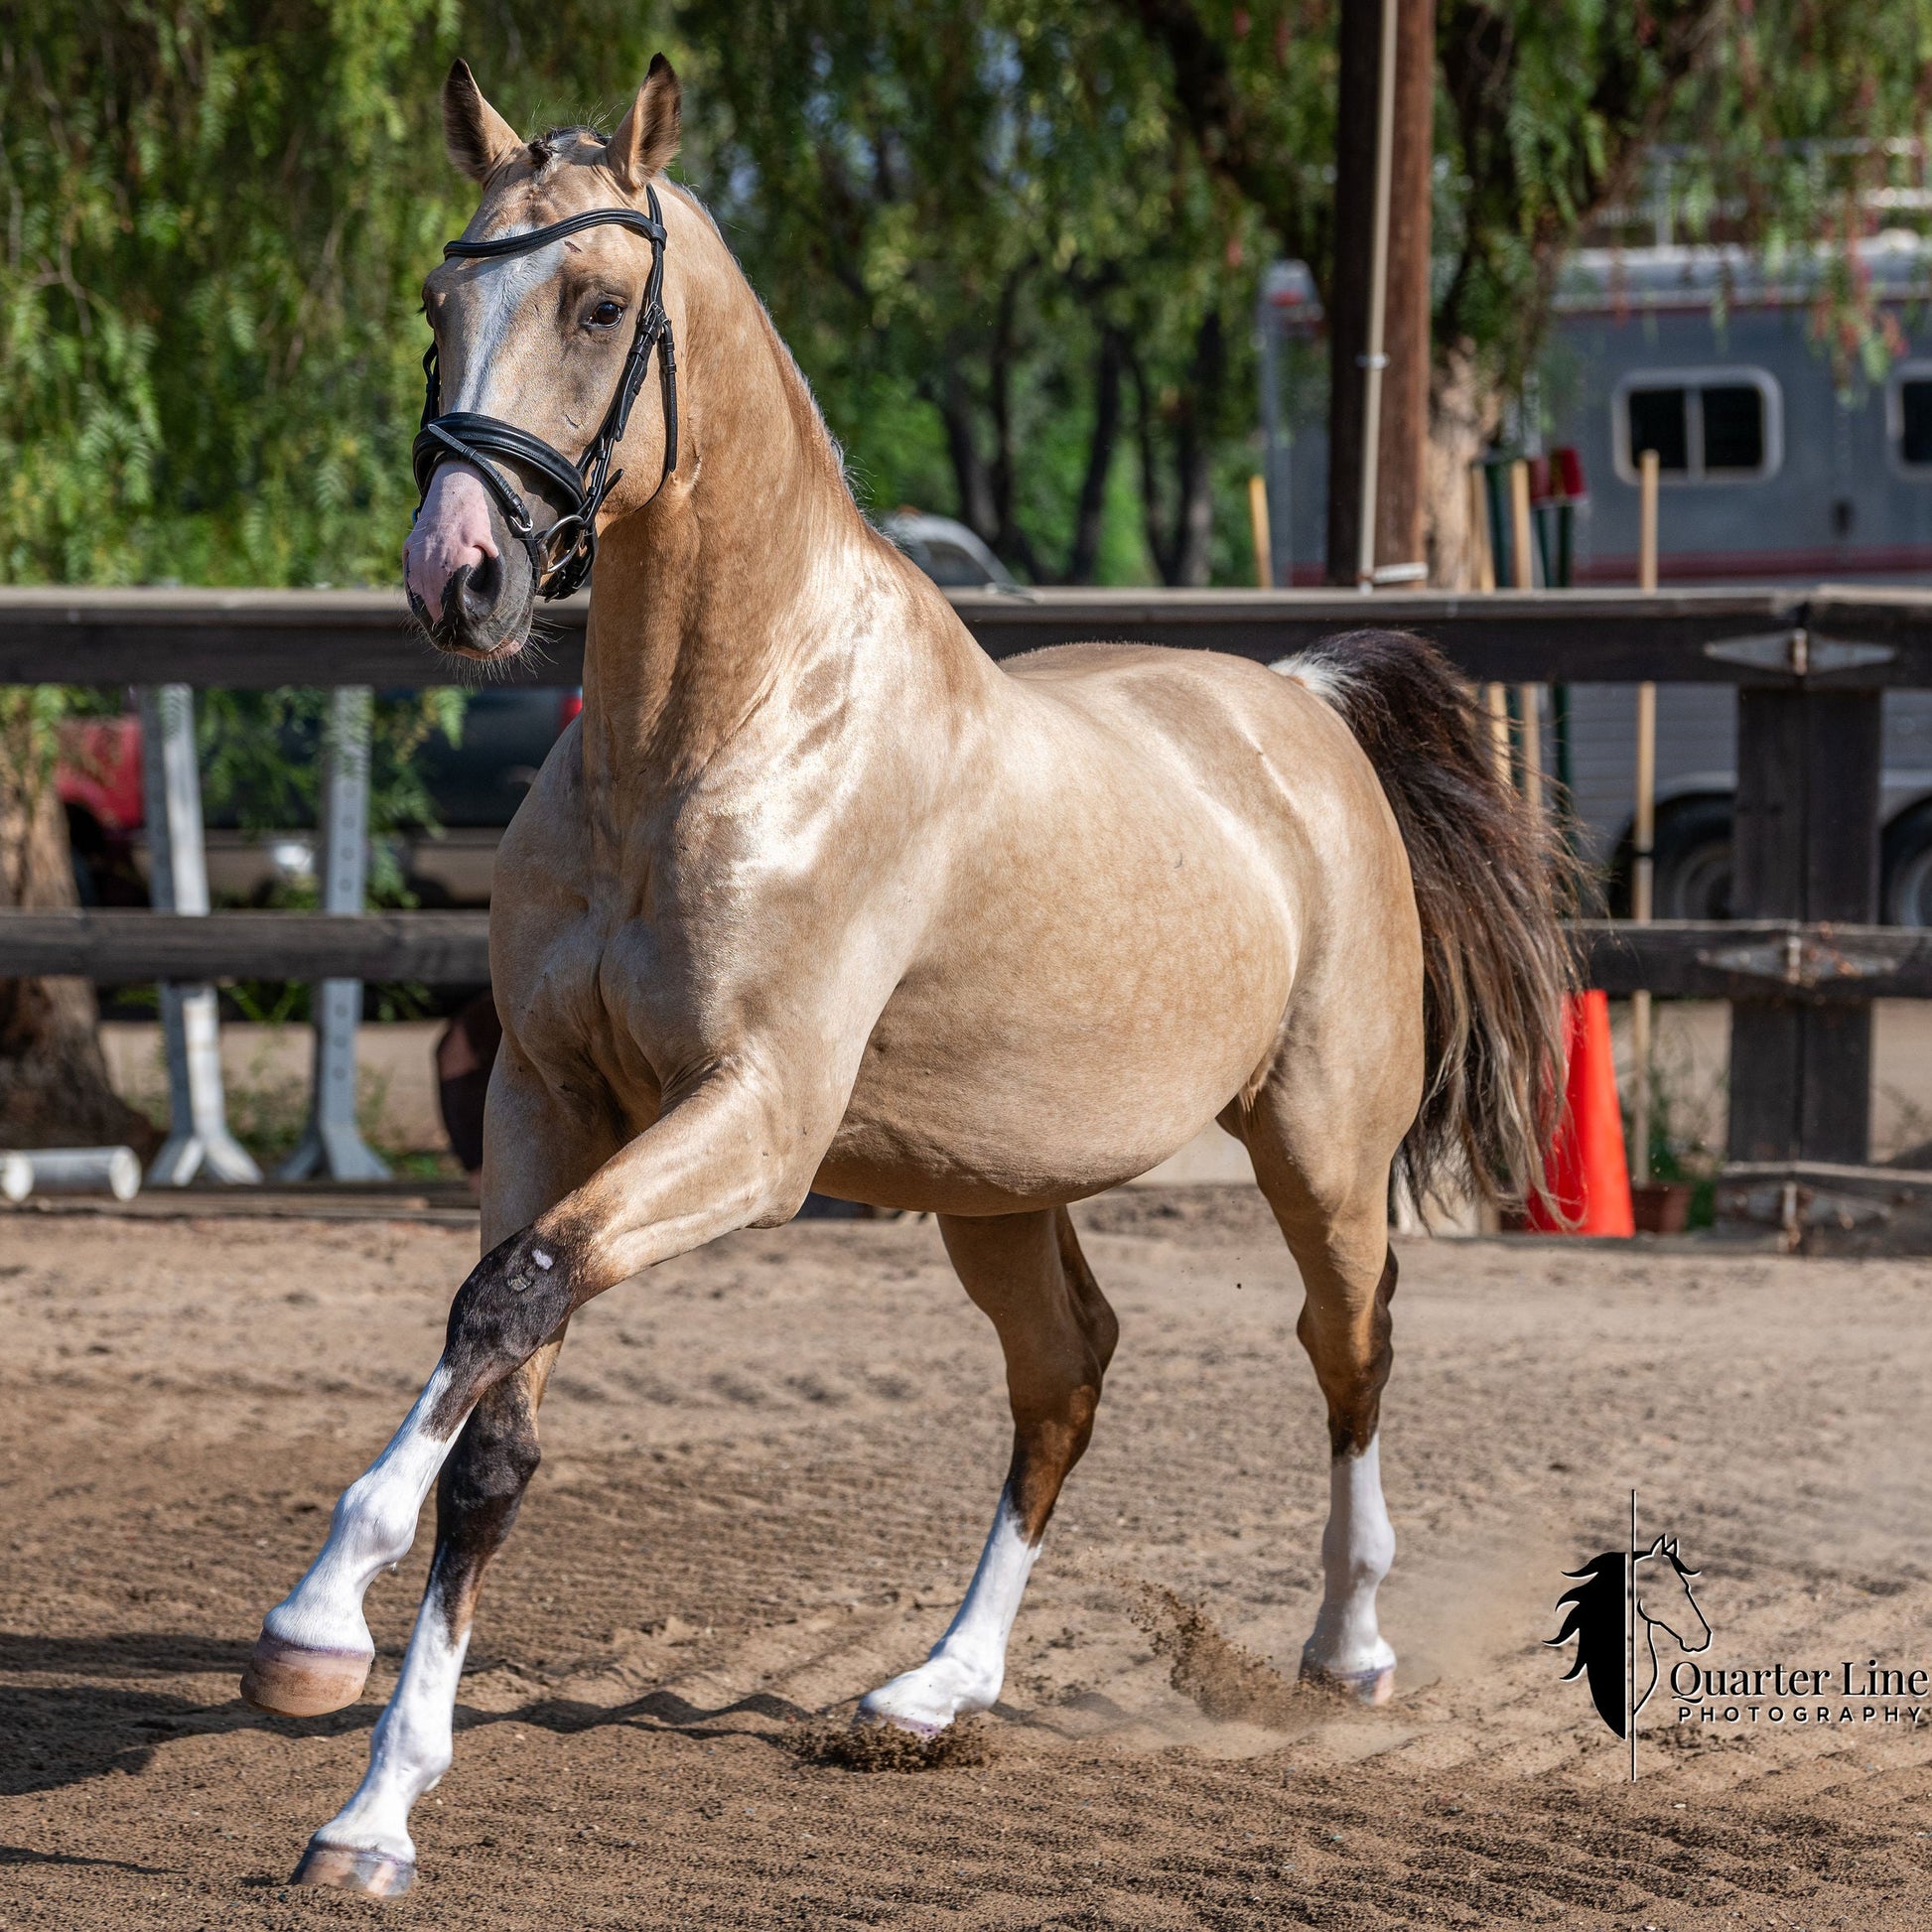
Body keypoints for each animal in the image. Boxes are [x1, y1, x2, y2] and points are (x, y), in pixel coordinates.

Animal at [239, 56, 1571, 1897]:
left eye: (597, 304)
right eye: (440, 305)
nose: (461, 577)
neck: (713, 738)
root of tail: (1298, 701)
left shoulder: (755, 1124)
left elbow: (505, 1305)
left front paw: (312, 1619)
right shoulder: (547, 1098)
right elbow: (498, 1413)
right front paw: (372, 1806)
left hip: (1319, 1146)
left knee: (1348, 1343)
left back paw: (1344, 1653)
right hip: (994, 1188)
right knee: (1067, 1370)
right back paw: (937, 1686)